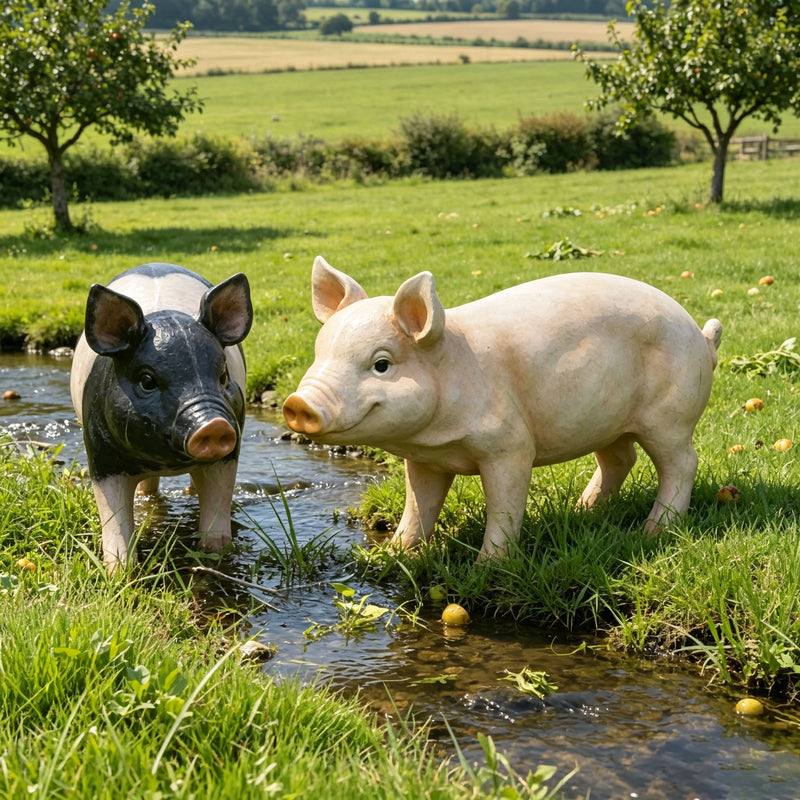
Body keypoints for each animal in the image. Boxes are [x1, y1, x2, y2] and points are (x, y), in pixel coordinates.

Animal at [70, 263, 253, 571]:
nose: (214, 426)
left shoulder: (230, 449)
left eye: (223, 376)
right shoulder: (100, 453)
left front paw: (214, 554)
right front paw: (120, 569)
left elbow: (217, 500)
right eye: (147, 381)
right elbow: (114, 514)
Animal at [283, 256, 722, 559]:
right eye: (319, 353)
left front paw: (488, 566)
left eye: (381, 364)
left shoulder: (510, 445)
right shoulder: (425, 460)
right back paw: (582, 511)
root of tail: (701, 336)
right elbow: (418, 506)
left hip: (671, 415)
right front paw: (393, 554)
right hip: (604, 418)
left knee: (682, 463)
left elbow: (505, 507)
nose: (297, 403)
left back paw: (654, 532)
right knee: (620, 459)